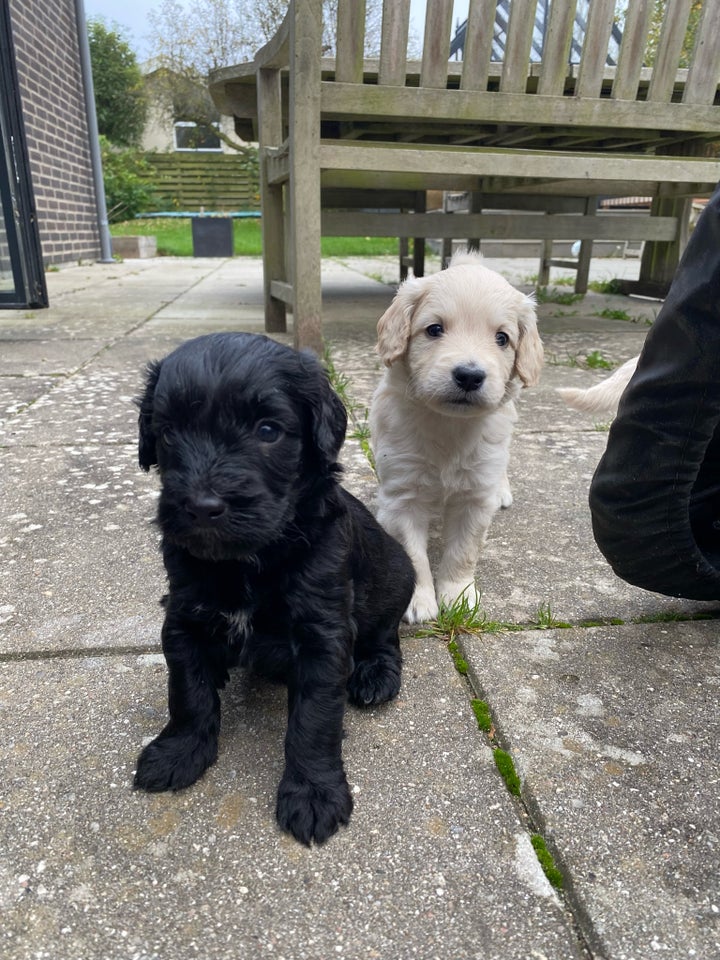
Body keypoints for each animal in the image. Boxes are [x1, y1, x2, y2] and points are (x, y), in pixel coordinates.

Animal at [134, 334, 414, 844]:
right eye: (168, 432)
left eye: (268, 430)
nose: (202, 507)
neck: (247, 560)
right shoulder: (183, 617)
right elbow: (187, 692)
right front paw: (179, 752)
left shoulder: (324, 633)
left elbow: (314, 720)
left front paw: (313, 794)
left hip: (394, 581)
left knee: (386, 638)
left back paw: (375, 675)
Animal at [368, 251, 544, 624]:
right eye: (434, 329)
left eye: (502, 338)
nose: (469, 375)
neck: (449, 426)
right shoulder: (403, 496)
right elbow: (412, 554)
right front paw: (418, 600)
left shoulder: (475, 499)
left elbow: (464, 551)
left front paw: (459, 595)